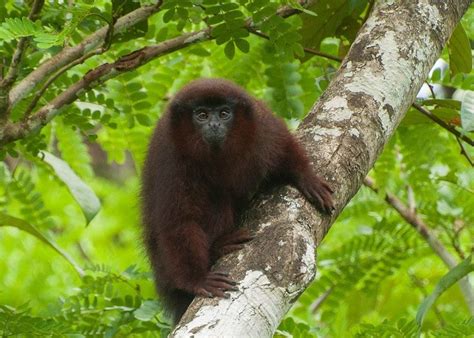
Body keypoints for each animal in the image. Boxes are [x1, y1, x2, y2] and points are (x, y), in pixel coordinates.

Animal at [141, 78, 334, 324]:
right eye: (202, 115)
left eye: (224, 113)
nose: (214, 125)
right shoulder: (170, 156)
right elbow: (178, 221)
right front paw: (197, 280)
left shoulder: (261, 125)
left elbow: (281, 147)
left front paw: (306, 177)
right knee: (215, 201)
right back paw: (218, 246)